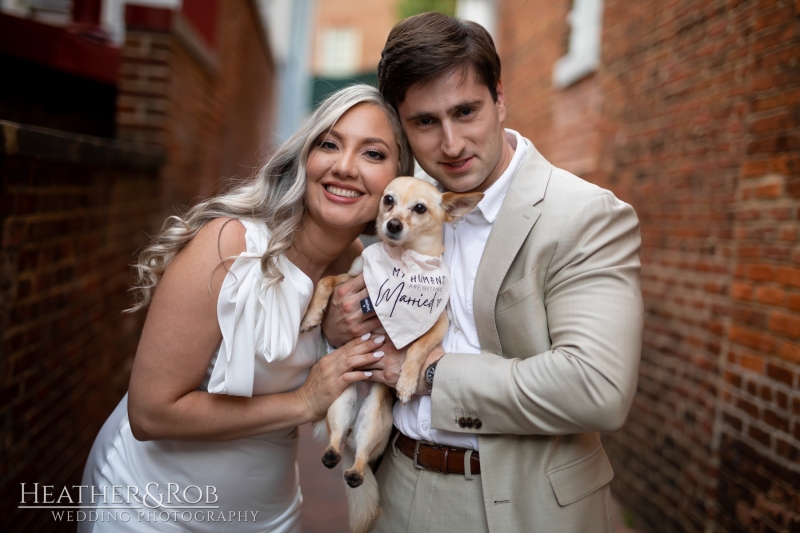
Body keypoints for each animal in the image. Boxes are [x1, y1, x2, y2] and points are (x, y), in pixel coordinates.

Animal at [296, 178, 478, 532]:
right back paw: (333, 454)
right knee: (337, 440)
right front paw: (312, 315)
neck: (402, 259)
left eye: (419, 208)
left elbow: (418, 348)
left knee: (363, 457)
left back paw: (354, 470)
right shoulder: (352, 280)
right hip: (341, 403)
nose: (392, 225)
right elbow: (327, 280)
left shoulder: (438, 323)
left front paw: (406, 383)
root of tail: (352, 431)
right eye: (388, 200)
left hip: (374, 417)